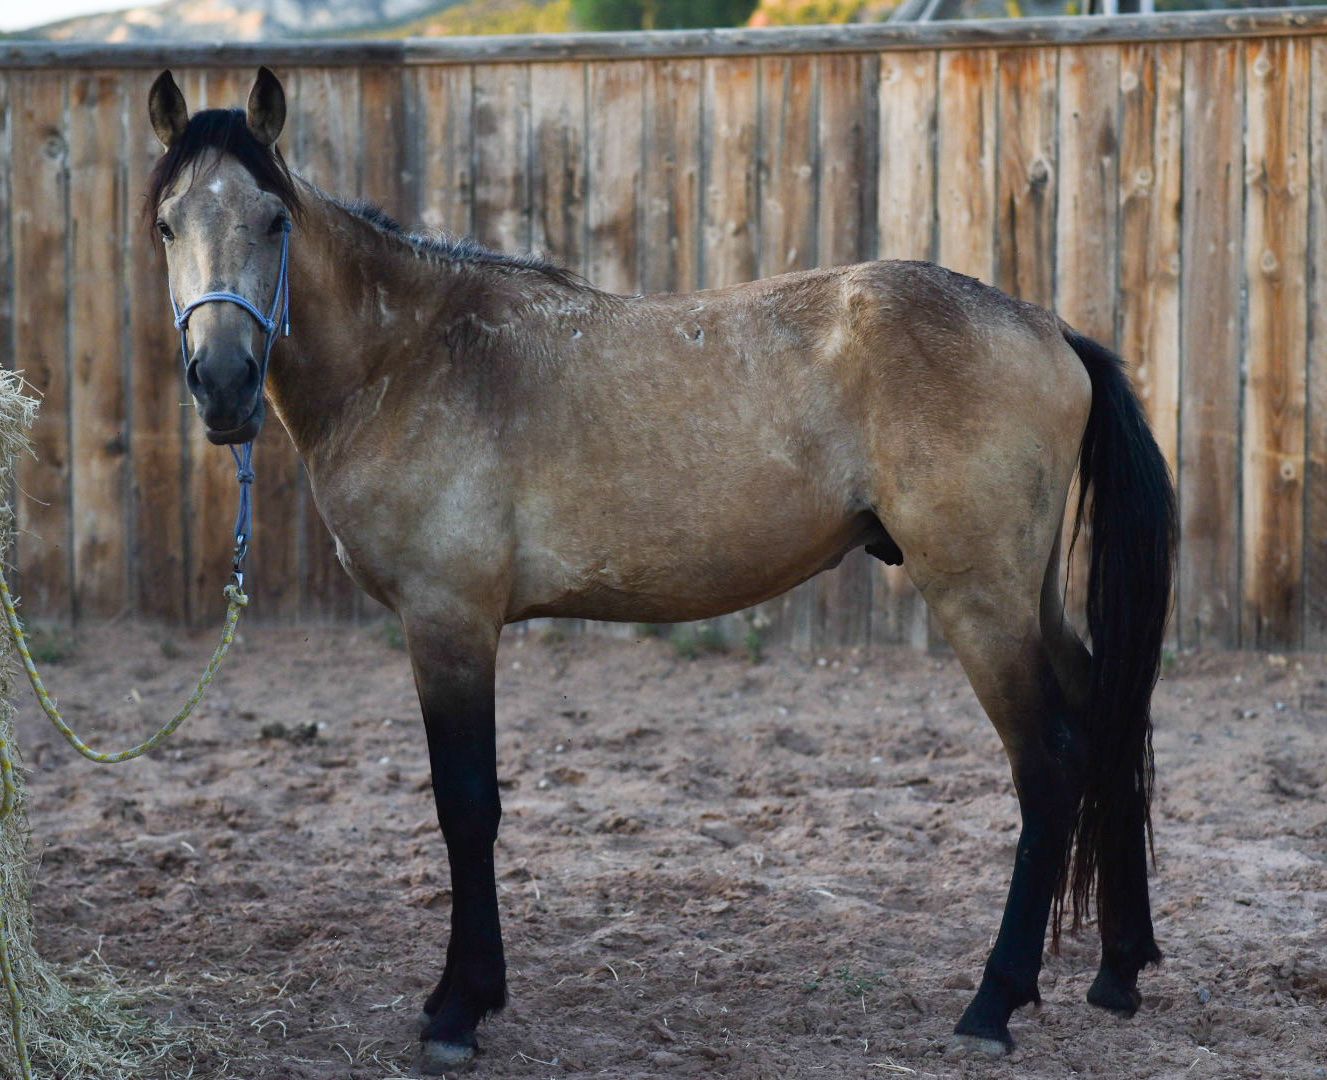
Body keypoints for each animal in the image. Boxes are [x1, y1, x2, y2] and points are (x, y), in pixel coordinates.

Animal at [144, 66, 1176, 1072]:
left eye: (273, 221)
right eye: (167, 224)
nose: (223, 385)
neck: (414, 354)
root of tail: (1048, 329)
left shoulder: (448, 621)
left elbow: (465, 806)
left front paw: (460, 1007)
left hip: (979, 601)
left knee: (1048, 761)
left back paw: (993, 1003)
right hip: (1029, 598)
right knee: (1105, 719)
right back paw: (1117, 971)